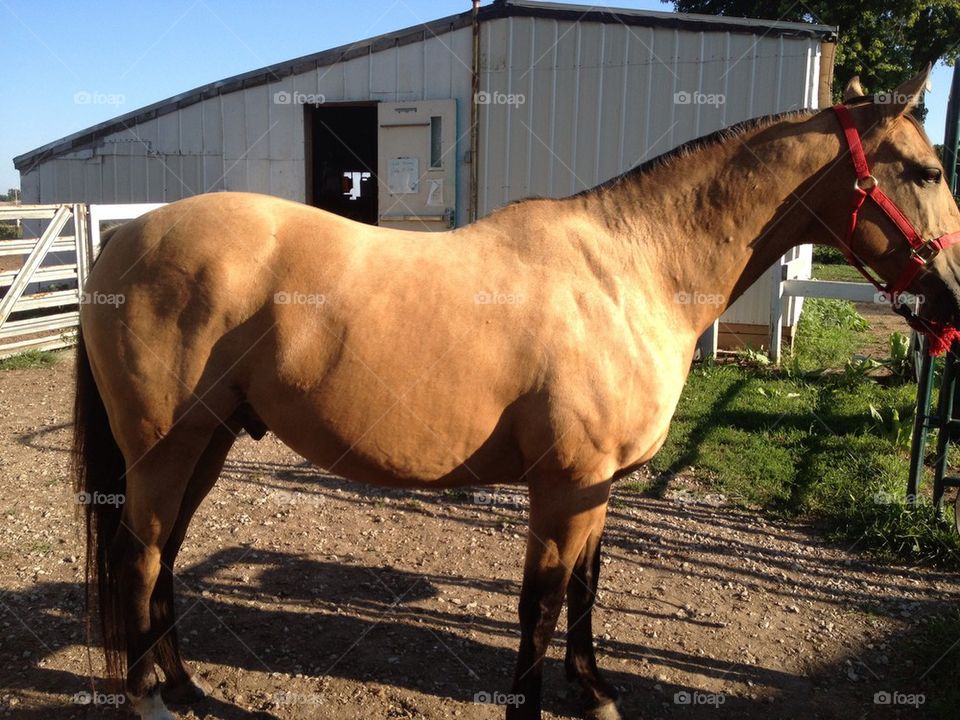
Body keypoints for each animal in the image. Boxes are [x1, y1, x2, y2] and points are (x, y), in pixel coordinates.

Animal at [73, 69, 960, 720]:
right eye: (926, 170)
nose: (953, 302)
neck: (632, 269)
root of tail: (123, 239)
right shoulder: (564, 486)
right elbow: (539, 603)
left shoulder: (596, 487)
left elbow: (584, 591)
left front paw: (594, 693)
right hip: (165, 450)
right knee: (139, 556)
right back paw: (151, 700)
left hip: (209, 441)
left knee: (164, 559)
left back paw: (185, 687)